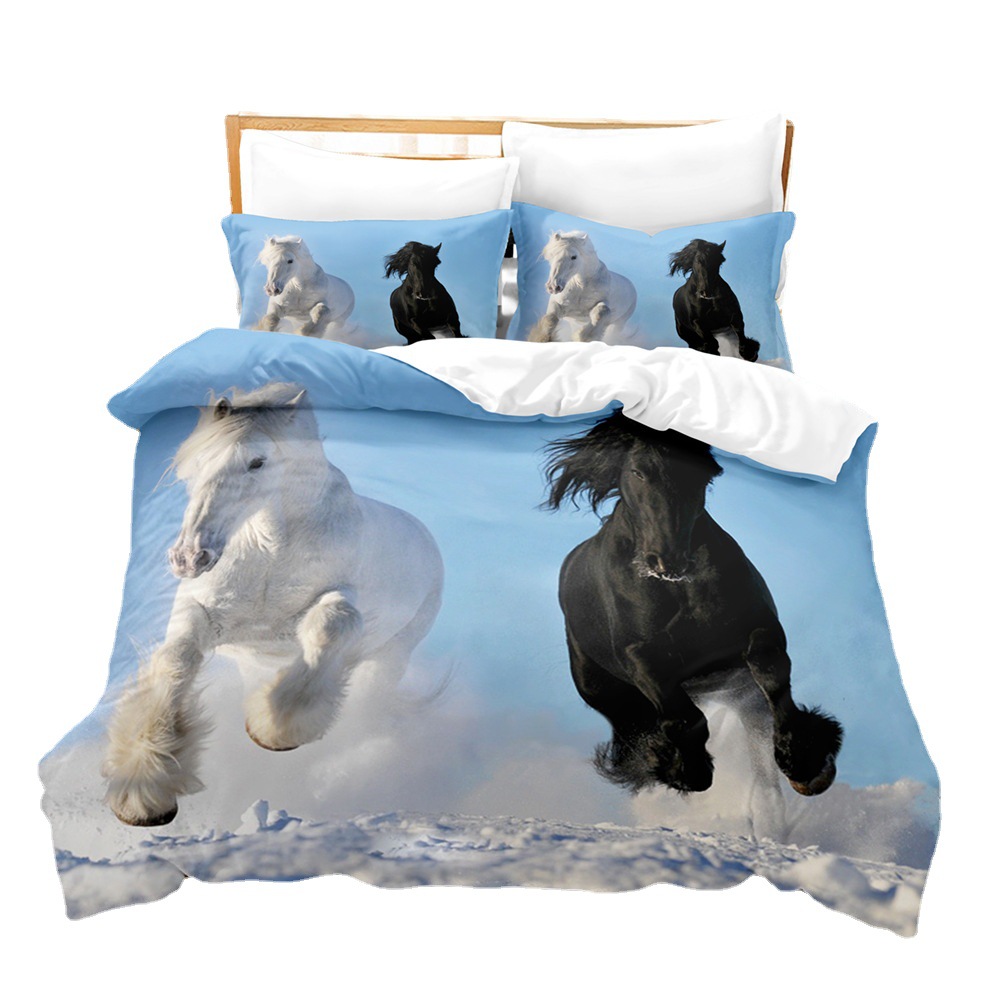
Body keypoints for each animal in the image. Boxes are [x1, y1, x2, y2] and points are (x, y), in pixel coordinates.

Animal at [102, 383, 444, 827]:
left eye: (257, 462)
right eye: (196, 463)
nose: (190, 557)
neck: (268, 552)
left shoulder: (338, 602)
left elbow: (331, 624)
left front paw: (277, 729)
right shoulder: (200, 614)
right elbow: (176, 660)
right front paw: (145, 790)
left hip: (390, 658)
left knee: (365, 716)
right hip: (254, 664)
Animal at [543, 411, 842, 836]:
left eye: (699, 474)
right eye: (638, 471)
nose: (667, 559)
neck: (678, 590)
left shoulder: (758, 631)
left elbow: (771, 676)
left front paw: (806, 764)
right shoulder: (642, 658)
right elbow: (685, 719)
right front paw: (687, 770)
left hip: (739, 695)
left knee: (760, 759)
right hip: (604, 690)